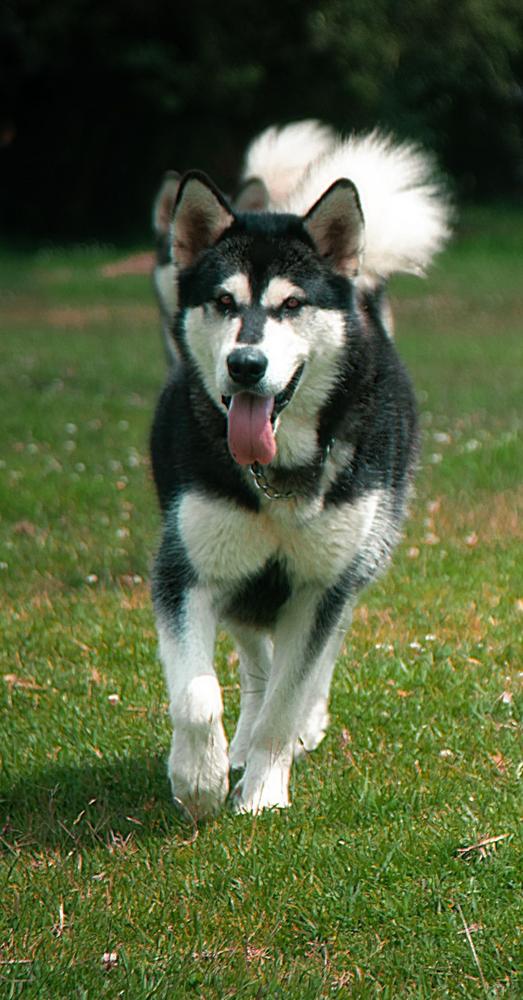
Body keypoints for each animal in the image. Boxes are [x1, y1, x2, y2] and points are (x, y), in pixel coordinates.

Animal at [148, 121, 450, 816]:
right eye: (223, 301)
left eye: (290, 305)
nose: (245, 365)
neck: (277, 477)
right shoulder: (189, 570)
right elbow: (197, 697)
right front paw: (200, 779)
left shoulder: (321, 586)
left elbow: (289, 697)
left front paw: (264, 789)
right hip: (241, 579)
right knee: (255, 660)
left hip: (362, 554)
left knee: (314, 659)